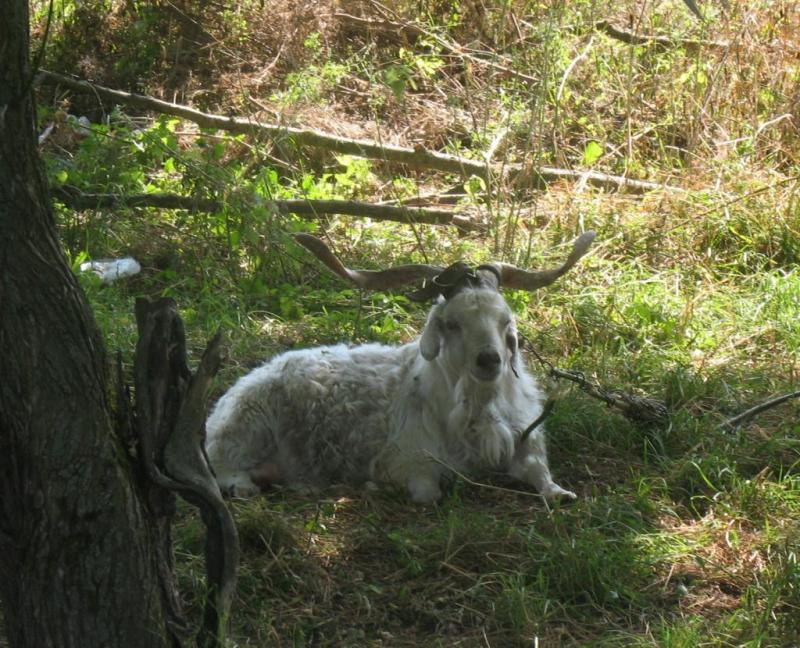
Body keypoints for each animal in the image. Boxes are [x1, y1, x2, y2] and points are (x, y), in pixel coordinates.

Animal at [205, 230, 592, 504]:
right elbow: (429, 493)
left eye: (504, 320)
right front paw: (376, 486)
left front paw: (560, 493)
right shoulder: (409, 459)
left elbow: (540, 473)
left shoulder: (525, 440)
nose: (489, 360)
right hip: (245, 427)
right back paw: (243, 487)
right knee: (221, 464)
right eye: (452, 323)